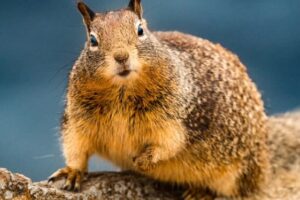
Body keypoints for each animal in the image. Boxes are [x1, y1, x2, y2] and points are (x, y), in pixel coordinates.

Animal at [48, 0, 270, 199]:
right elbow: (76, 147)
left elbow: (168, 143)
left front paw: (143, 160)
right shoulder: (76, 119)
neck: (122, 91)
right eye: (93, 40)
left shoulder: (175, 117)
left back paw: (200, 192)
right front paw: (72, 172)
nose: (121, 56)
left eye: (140, 30)